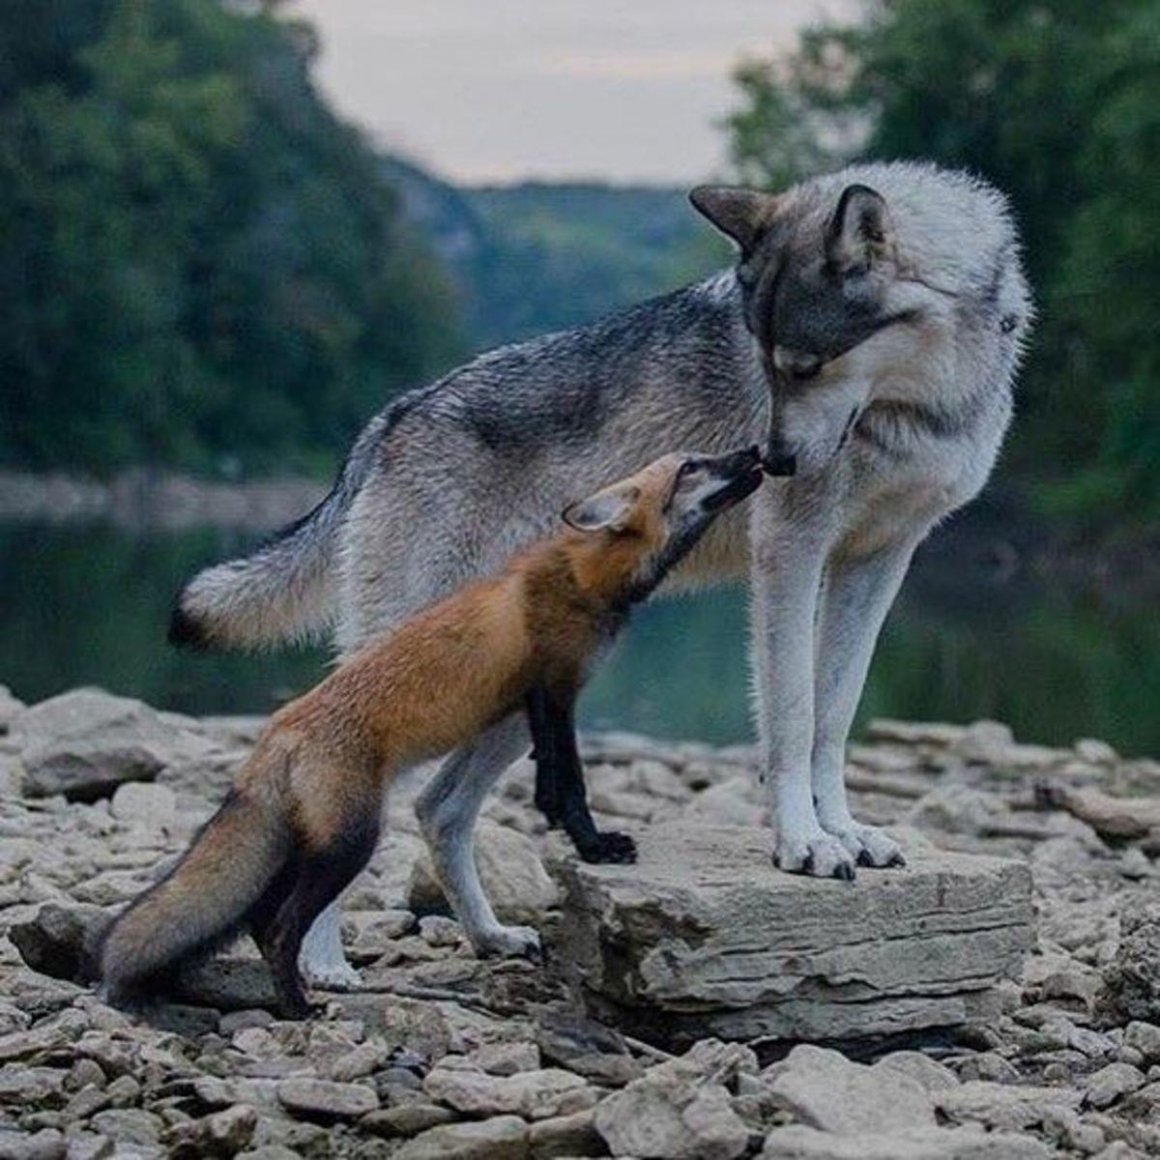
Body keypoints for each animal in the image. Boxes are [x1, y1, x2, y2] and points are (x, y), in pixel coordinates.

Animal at [97, 447, 765, 1018]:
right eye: (692, 467)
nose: (756, 451)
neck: (583, 576)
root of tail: (275, 731)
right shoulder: (555, 692)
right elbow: (568, 787)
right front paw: (595, 846)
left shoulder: (535, 703)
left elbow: (550, 788)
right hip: (350, 842)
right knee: (284, 927)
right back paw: (299, 1006)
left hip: (303, 847)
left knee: (263, 925)